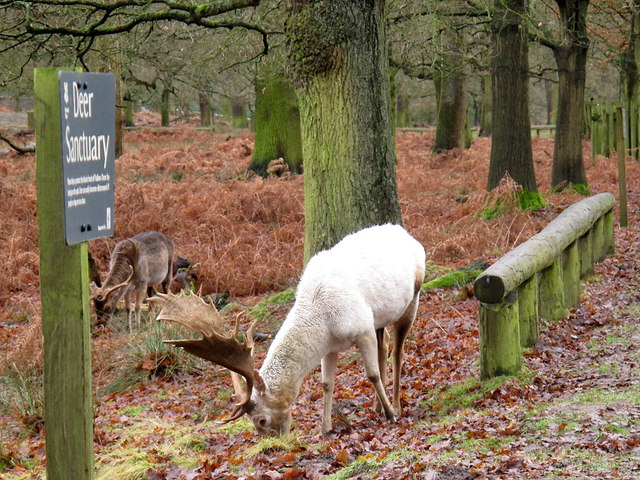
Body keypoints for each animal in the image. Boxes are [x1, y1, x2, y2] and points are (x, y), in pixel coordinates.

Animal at [152, 224, 428, 436]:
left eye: (261, 419)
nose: (274, 442)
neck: (323, 319)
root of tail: (406, 233)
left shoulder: (362, 327)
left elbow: (371, 374)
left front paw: (391, 416)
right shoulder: (332, 346)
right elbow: (327, 383)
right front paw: (325, 428)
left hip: (413, 299)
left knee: (397, 351)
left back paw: (395, 406)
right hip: (381, 319)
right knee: (386, 345)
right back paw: (376, 407)